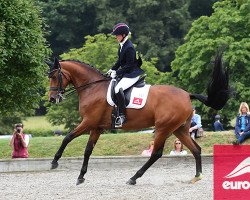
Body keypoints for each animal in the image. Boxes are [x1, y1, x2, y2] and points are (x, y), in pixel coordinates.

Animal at [47, 52, 230, 185]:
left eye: (55, 76)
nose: (52, 99)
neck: (93, 87)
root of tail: (187, 95)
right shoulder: (96, 127)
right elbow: (87, 150)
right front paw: (81, 176)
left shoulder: (88, 122)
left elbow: (67, 137)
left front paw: (54, 162)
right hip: (179, 129)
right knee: (196, 149)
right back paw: (197, 176)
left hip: (163, 128)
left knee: (156, 154)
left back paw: (133, 178)